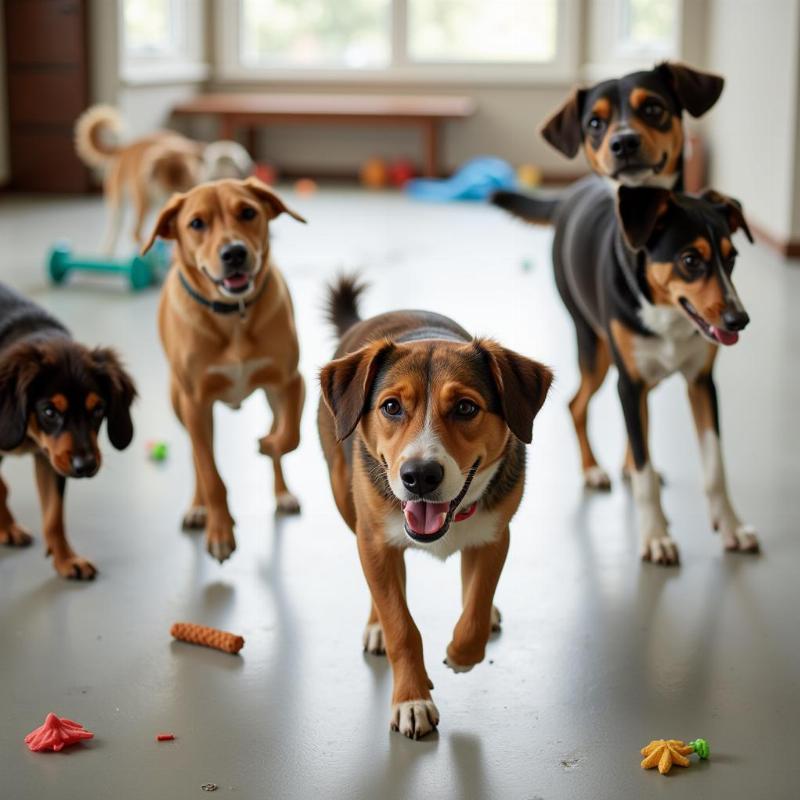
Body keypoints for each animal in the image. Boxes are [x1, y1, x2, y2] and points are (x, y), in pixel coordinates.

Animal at [0, 284, 136, 580]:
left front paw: (66, 559)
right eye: (50, 411)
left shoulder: (50, 459)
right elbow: (2, 486)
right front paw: (7, 526)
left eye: (98, 409)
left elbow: (53, 515)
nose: (85, 466)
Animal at [316, 278, 552, 740]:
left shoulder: (496, 535)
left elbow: (476, 604)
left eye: (466, 407)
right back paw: (375, 626)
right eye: (391, 406)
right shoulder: (374, 541)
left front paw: (462, 652)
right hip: (347, 505)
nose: (419, 476)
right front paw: (412, 699)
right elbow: (400, 625)